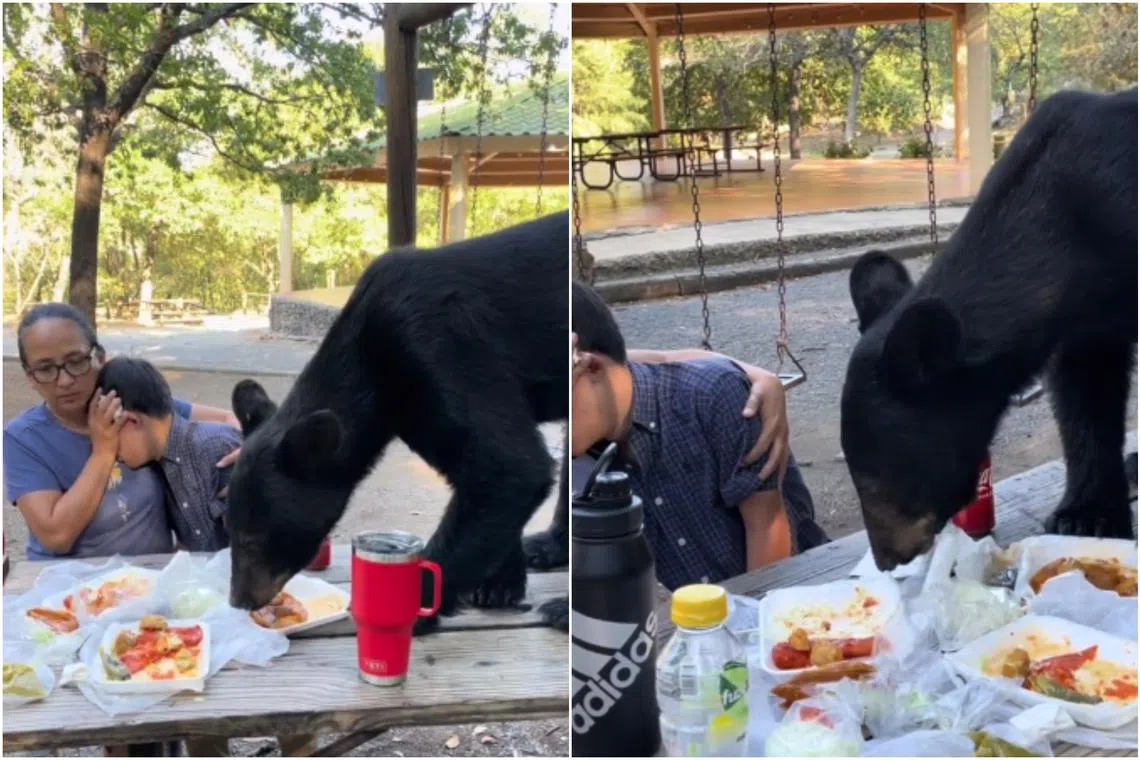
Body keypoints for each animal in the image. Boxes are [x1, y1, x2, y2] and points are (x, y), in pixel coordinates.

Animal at [225, 213, 569, 634]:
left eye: (253, 540)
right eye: (229, 529)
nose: (239, 599)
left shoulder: (442, 342)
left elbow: (509, 465)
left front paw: (416, 608)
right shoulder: (415, 407)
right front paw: (499, 583)